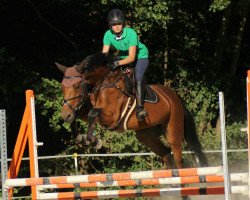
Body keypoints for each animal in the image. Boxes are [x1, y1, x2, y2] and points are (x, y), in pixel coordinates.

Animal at [55, 52, 208, 169]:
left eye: (76, 86)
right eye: (62, 87)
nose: (65, 115)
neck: (104, 83)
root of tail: (175, 97)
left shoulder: (112, 117)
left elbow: (93, 113)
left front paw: (92, 141)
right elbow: (81, 115)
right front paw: (80, 137)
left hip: (172, 131)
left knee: (178, 158)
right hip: (146, 135)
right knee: (166, 154)